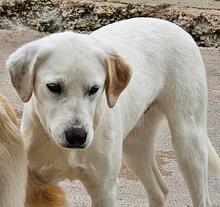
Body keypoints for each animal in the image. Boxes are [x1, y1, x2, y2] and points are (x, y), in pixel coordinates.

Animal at [6, 18, 219, 207]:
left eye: (94, 89)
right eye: (53, 87)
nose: (77, 136)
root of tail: (173, 25)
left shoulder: (104, 190)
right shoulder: (35, 186)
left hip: (188, 143)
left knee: (202, 199)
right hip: (135, 149)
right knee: (160, 190)